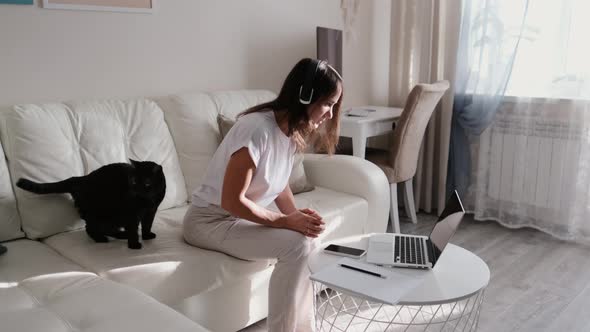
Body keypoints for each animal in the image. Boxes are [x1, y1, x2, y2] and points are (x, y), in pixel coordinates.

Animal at [17, 160, 165, 249]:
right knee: (90, 228)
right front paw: (134, 245)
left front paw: (146, 236)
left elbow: (147, 224)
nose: (135, 190)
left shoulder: (151, 210)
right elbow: (134, 229)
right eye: (133, 181)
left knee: (106, 228)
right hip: (101, 213)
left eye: (147, 182)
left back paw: (121, 235)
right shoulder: (131, 214)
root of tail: (81, 178)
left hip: (111, 217)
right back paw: (101, 239)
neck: (148, 200)